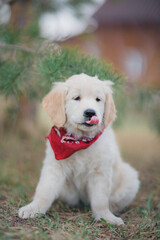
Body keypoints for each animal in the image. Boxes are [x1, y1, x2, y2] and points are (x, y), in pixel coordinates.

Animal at [18, 73, 139, 225]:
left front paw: (105, 217)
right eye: (77, 98)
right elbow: (44, 190)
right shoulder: (54, 166)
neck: (79, 140)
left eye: (98, 99)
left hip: (130, 177)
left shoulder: (100, 171)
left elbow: (100, 199)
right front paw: (34, 208)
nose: (90, 112)